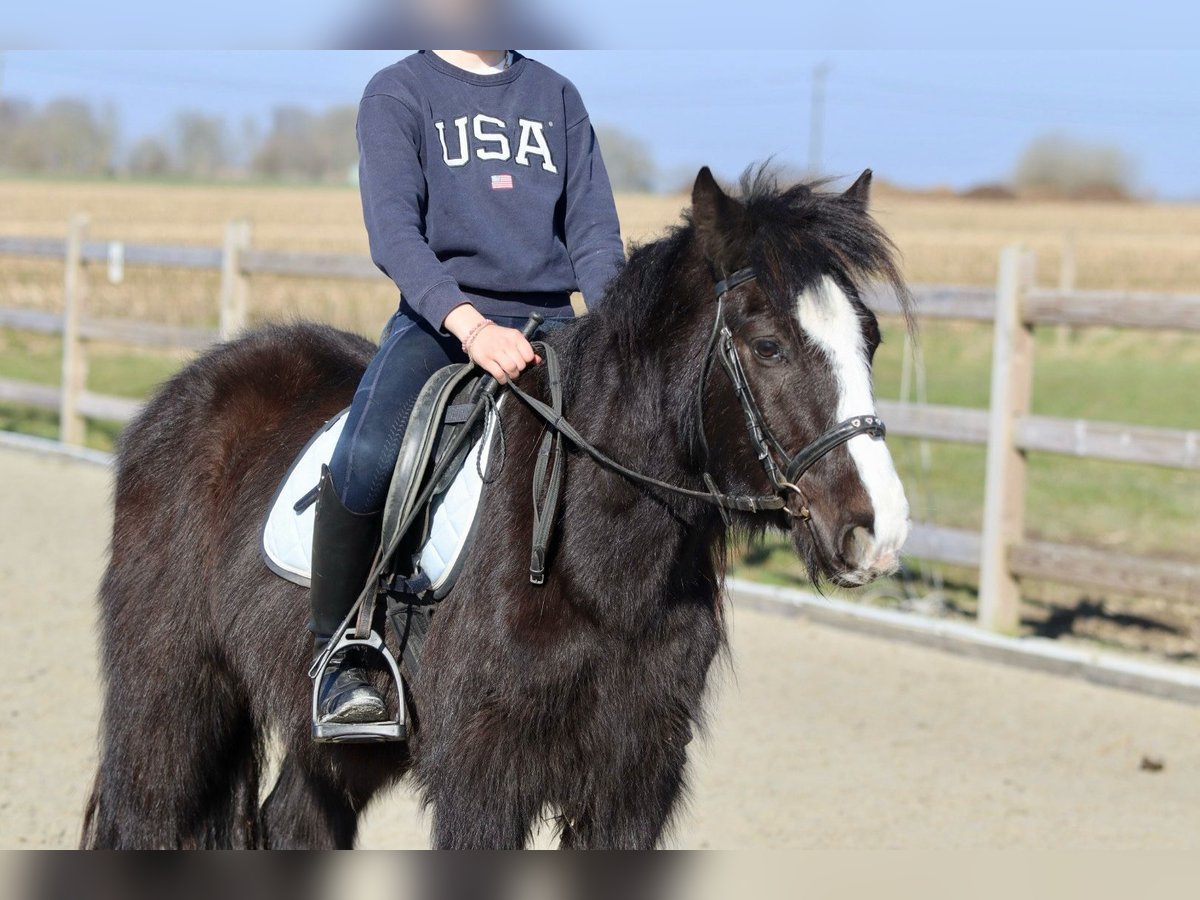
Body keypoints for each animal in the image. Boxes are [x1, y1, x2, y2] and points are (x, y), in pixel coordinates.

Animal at [82, 169, 907, 854]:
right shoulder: (484, 774)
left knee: (294, 821)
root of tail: (186, 390)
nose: (880, 530)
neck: (598, 562)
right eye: (768, 344)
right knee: (145, 811)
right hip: (170, 688)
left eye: (870, 338)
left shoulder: (634, 778)